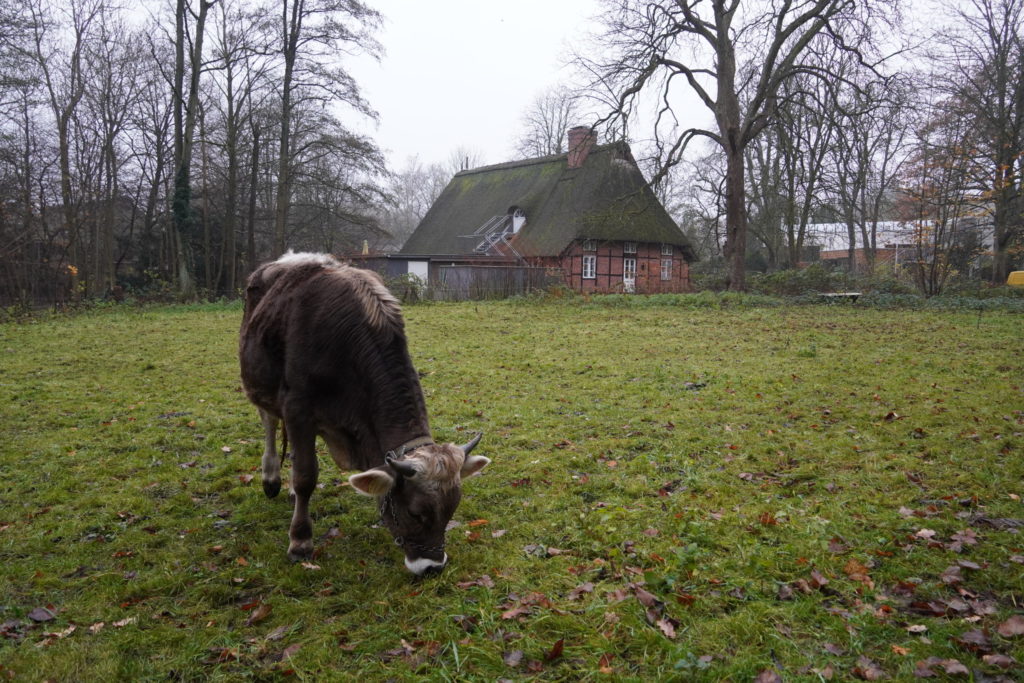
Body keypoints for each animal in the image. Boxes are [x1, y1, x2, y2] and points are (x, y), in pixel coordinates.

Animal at [239, 253, 487, 573]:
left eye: (451, 509)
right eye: (415, 512)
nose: (432, 567)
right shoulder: (297, 407)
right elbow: (306, 475)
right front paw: (300, 541)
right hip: (260, 383)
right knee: (269, 422)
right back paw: (271, 478)